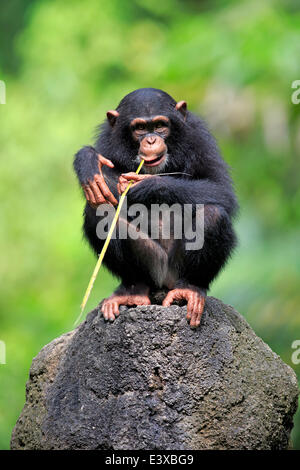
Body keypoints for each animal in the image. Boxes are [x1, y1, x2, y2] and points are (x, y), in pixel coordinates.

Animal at [74, 90, 238, 328]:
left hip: (174, 270)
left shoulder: (199, 137)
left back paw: (189, 289)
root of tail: (163, 284)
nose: (151, 140)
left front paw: (147, 185)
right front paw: (88, 161)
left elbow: (220, 189)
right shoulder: (107, 140)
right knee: (97, 214)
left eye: (160, 125)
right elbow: (106, 191)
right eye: (140, 128)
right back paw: (133, 290)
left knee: (213, 214)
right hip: (152, 264)